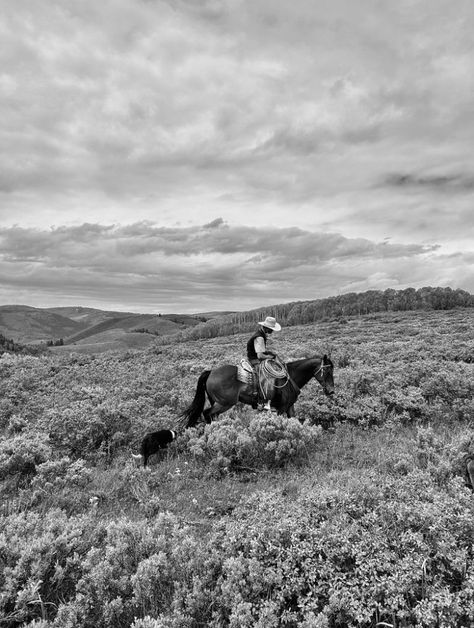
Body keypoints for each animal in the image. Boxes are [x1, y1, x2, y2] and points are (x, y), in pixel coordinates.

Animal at [181, 354, 334, 426]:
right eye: (328, 371)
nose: (331, 391)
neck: (290, 377)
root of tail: (211, 372)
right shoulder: (281, 408)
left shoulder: (289, 407)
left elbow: (295, 422)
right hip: (224, 403)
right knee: (207, 413)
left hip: (217, 402)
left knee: (212, 416)